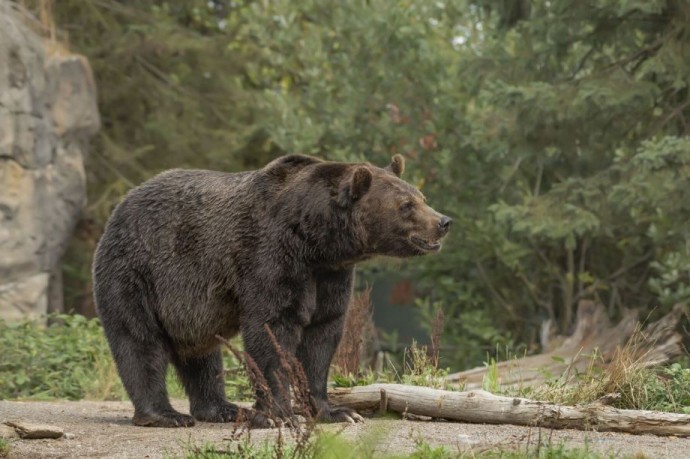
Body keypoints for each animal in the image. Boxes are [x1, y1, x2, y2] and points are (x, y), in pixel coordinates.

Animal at [91, 155, 448, 428]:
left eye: (422, 197)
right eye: (405, 205)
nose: (443, 221)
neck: (316, 241)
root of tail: (119, 207)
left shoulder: (330, 276)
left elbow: (322, 336)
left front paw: (337, 412)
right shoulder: (271, 256)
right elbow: (272, 331)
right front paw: (280, 414)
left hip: (189, 308)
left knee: (203, 355)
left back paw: (222, 408)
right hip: (138, 272)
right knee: (139, 342)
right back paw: (165, 415)